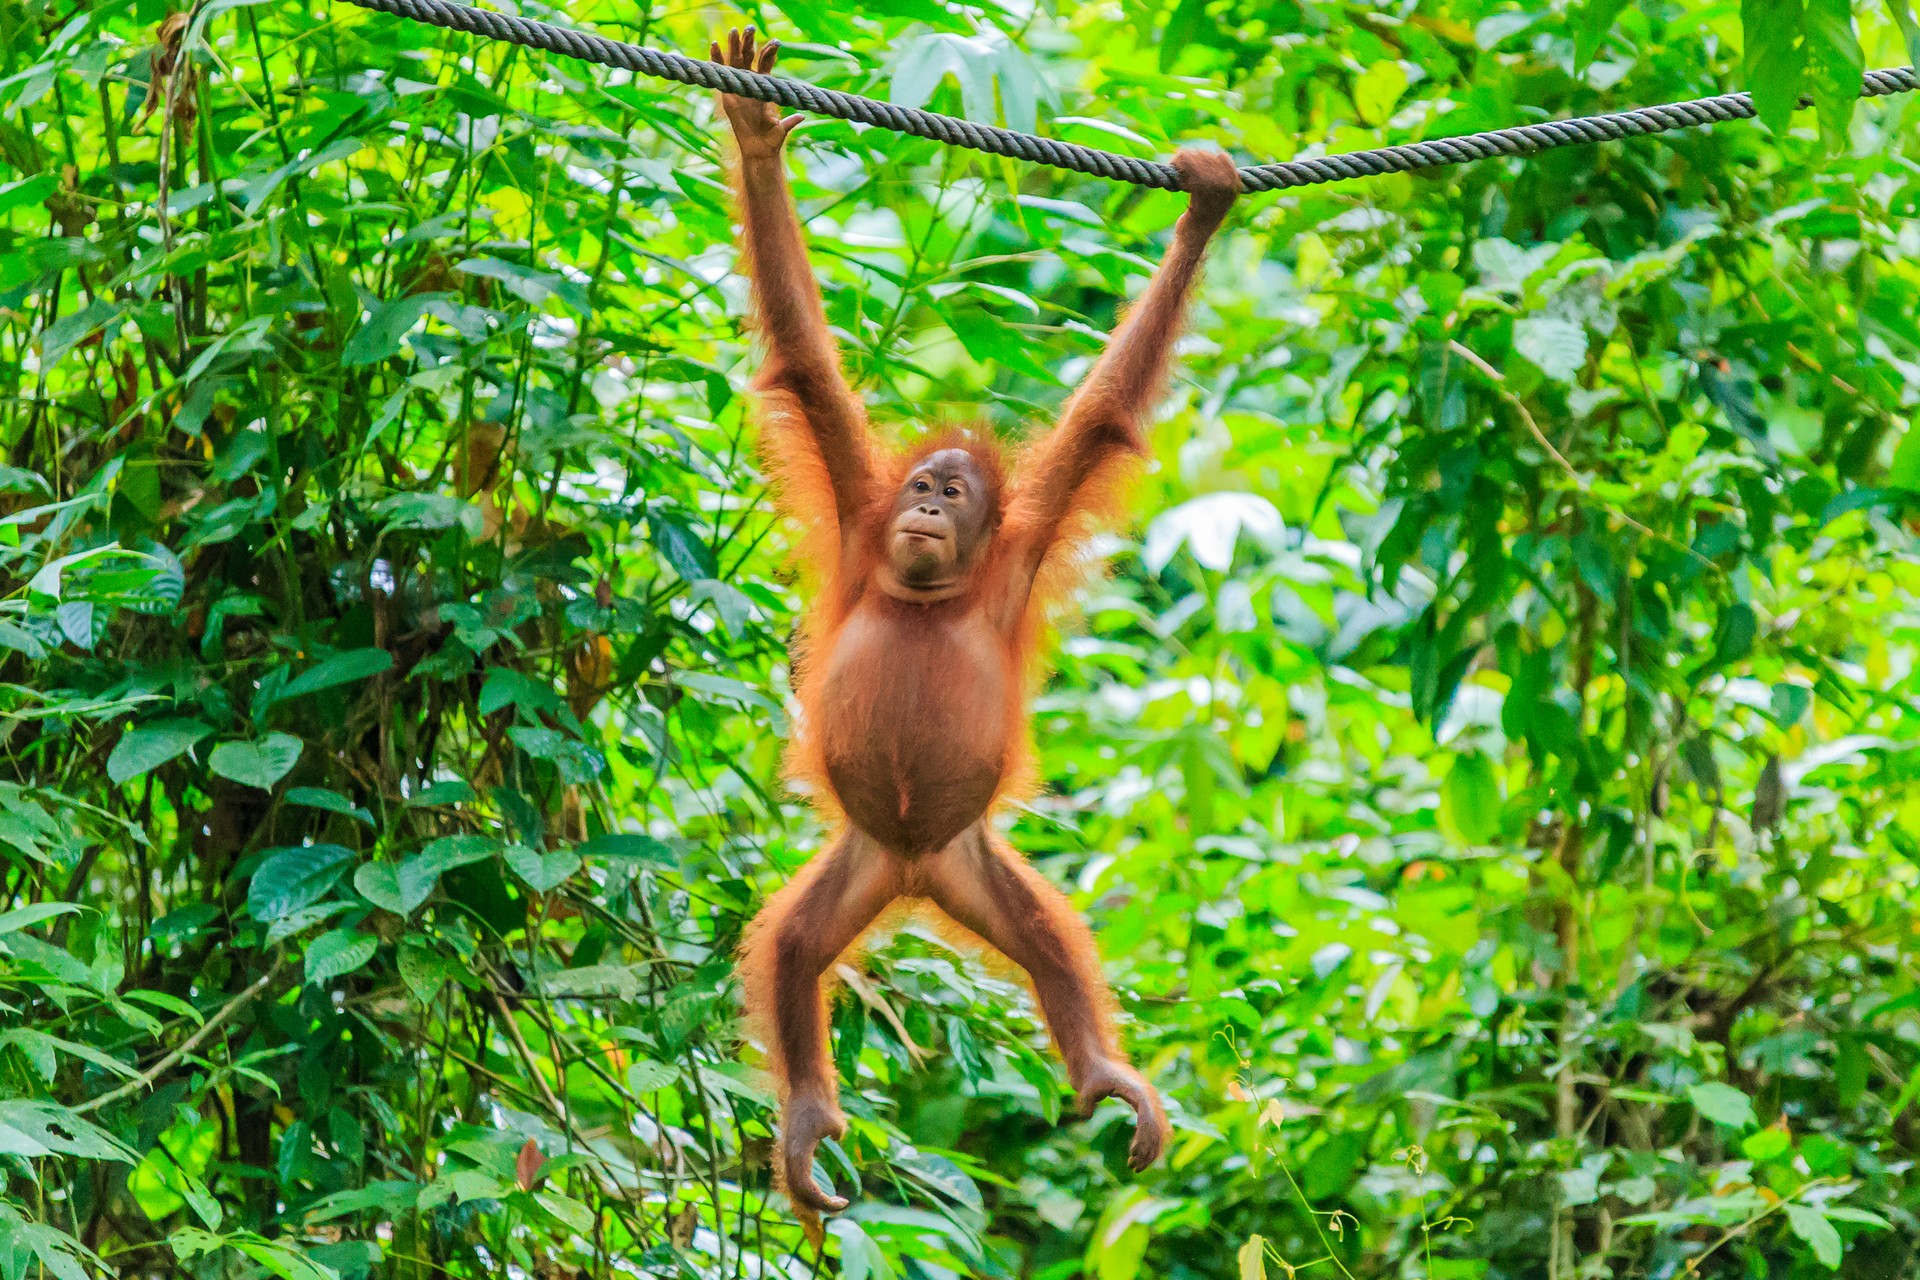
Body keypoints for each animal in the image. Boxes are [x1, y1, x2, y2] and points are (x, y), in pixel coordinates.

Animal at [711, 28, 1241, 1213]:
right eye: (919, 486)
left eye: (955, 496)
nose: (922, 509)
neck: (929, 589)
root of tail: (912, 868)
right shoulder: (855, 511)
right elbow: (805, 362)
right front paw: (757, 136)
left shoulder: (1024, 547)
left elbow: (1106, 416)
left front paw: (1205, 207)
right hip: (864, 856)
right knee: (794, 951)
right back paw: (808, 1118)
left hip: (967, 856)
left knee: (1045, 936)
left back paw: (1098, 1071)